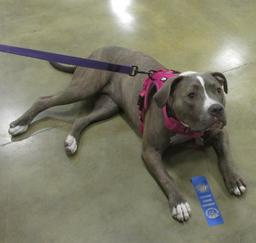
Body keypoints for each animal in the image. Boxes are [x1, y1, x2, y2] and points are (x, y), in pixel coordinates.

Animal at [9, 46, 247, 223]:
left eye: (218, 90)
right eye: (191, 95)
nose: (216, 109)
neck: (185, 126)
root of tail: (94, 52)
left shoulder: (220, 133)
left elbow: (226, 157)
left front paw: (234, 180)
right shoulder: (150, 151)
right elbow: (167, 177)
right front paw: (179, 203)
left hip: (108, 105)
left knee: (81, 119)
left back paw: (71, 141)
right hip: (84, 86)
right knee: (44, 100)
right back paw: (20, 124)